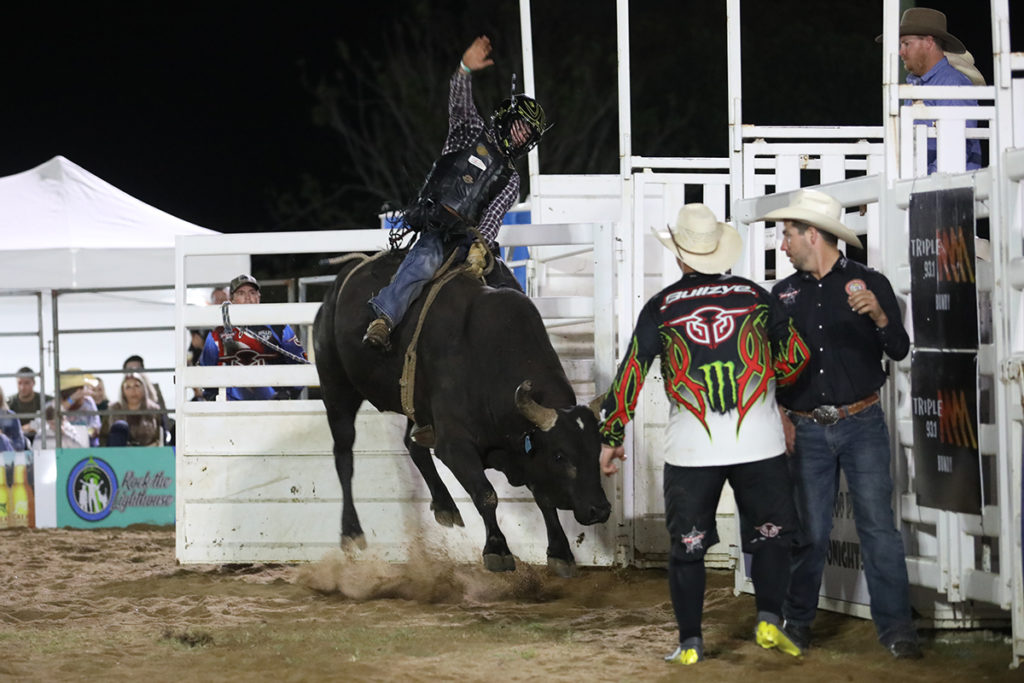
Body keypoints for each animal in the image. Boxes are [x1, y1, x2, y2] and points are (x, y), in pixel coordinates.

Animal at [311, 250, 610, 577]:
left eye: (597, 451)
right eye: (560, 456)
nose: (600, 509)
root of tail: (337, 286)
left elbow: (544, 498)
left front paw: (560, 552)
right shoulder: (455, 445)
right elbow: (486, 494)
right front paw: (497, 550)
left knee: (413, 445)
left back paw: (445, 505)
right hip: (336, 389)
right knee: (344, 456)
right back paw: (352, 532)